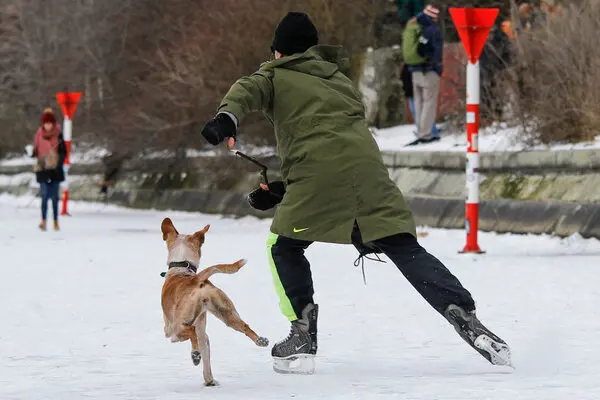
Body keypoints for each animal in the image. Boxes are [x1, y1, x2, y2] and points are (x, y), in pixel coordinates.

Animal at [159, 217, 268, 386]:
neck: (183, 268)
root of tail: (197, 279)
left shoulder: (169, 331)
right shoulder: (204, 334)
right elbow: (207, 360)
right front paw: (209, 381)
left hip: (176, 328)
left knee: (189, 331)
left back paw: (195, 355)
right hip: (226, 311)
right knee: (244, 326)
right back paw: (261, 340)